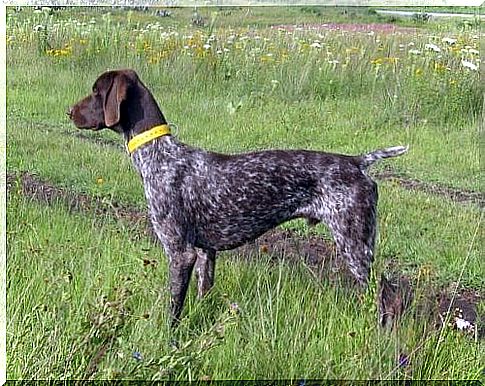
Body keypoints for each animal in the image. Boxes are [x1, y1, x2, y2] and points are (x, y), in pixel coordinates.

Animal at [68, 69, 406, 326]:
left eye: (96, 92)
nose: (68, 112)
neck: (159, 155)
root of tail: (358, 162)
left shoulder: (180, 253)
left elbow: (173, 309)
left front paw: (167, 341)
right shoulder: (205, 252)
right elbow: (203, 293)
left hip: (355, 245)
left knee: (384, 295)